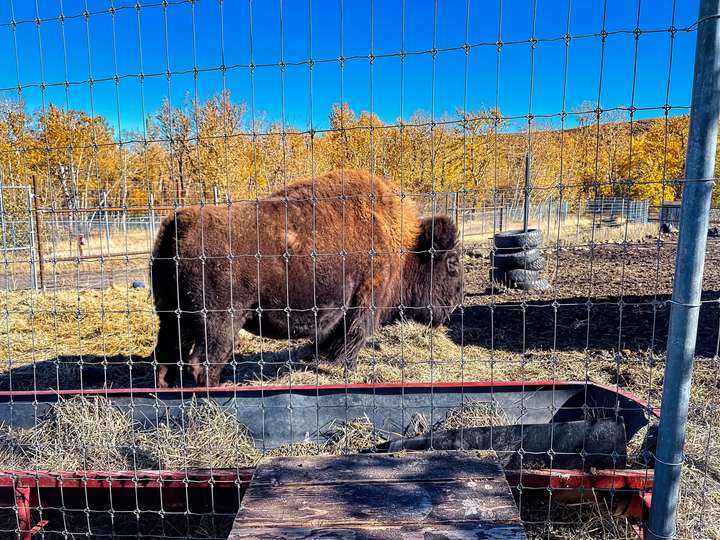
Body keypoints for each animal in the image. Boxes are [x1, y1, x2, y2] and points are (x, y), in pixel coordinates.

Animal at [151, 171, 464, 386]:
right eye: (452, 264)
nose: (455, 302)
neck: (403, 243)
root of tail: (180, 222)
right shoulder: (364, 304)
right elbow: (352, 341)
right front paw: (345, 370)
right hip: (220, 323)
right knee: (203, 363)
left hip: (171, 318)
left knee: (166, 357)